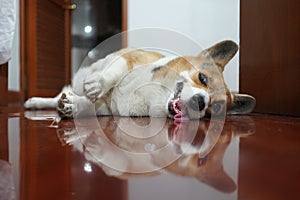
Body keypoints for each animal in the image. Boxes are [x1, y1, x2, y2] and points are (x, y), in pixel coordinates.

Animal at [25, 40, 255, 120]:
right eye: (202, 78)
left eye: (215, 108)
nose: (200, 102)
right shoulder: (128, 56)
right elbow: (117, 68)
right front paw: (97, 85)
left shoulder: (107, 109)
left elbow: (90, 107)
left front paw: (74, 107)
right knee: (60, 94)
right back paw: (35, 102)